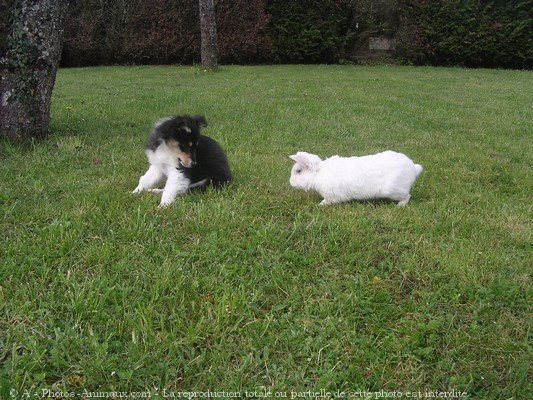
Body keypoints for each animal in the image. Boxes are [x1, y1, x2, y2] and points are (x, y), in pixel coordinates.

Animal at [288, 150, 422, 206]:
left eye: (298, 171)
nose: (290, 182)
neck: (318, 173)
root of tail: (413, 168)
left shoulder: (331, 196)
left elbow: (327, 201)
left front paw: (320, 205)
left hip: (394, 191)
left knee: (407, 196)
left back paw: (400, 205)